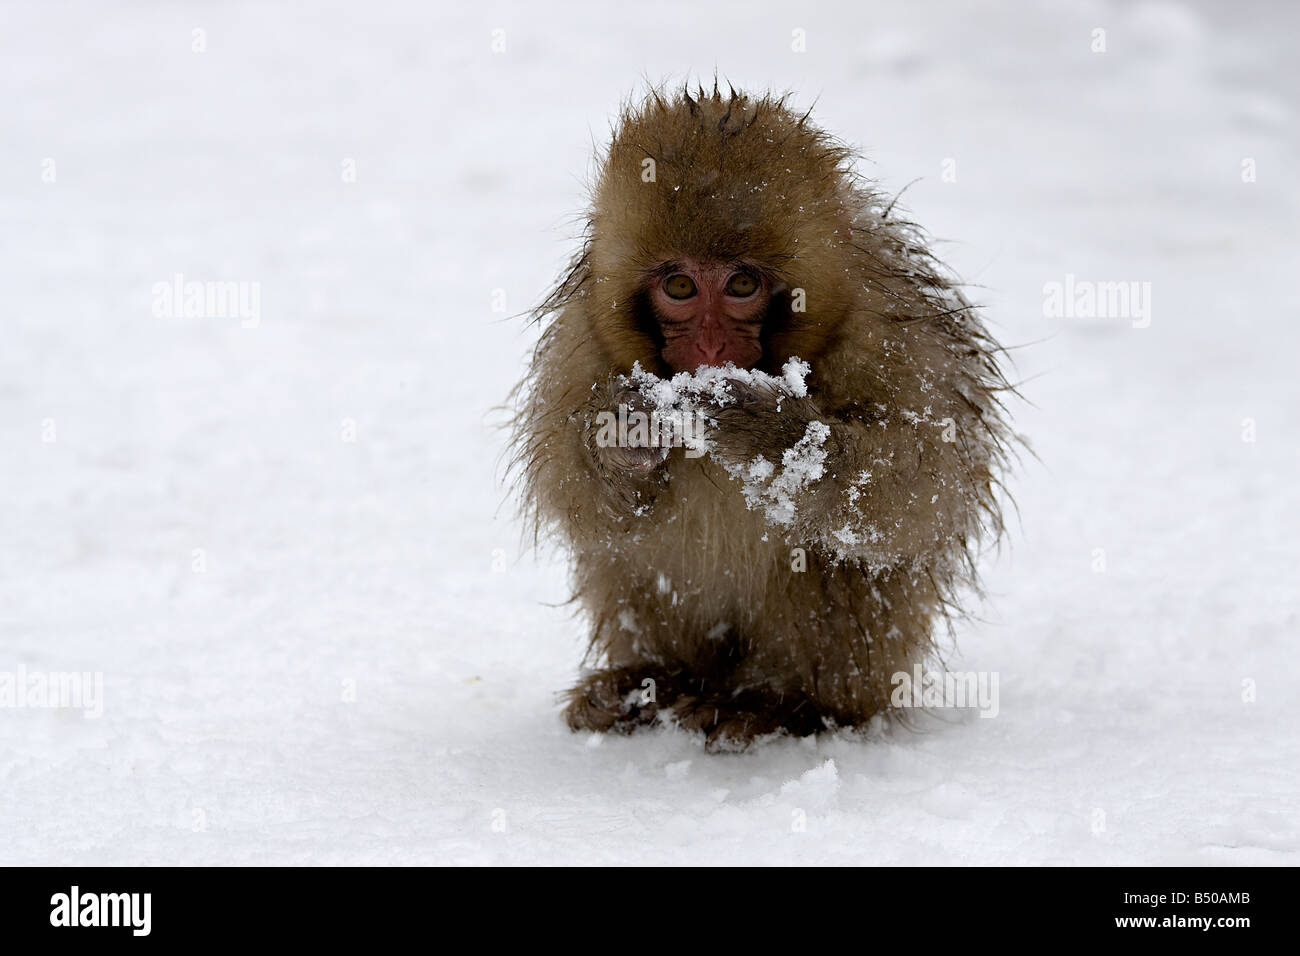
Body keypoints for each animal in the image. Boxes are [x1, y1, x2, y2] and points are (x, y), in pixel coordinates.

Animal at [509, 82, 1013, 749]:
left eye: (742, 285)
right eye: (680, 287)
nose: (710, 346)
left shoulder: (894, 335)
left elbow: (924, 494)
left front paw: (776, 436)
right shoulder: (583, 341)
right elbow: (581, 501)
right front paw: (621, 436)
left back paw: (779, 704)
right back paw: (650, 684)